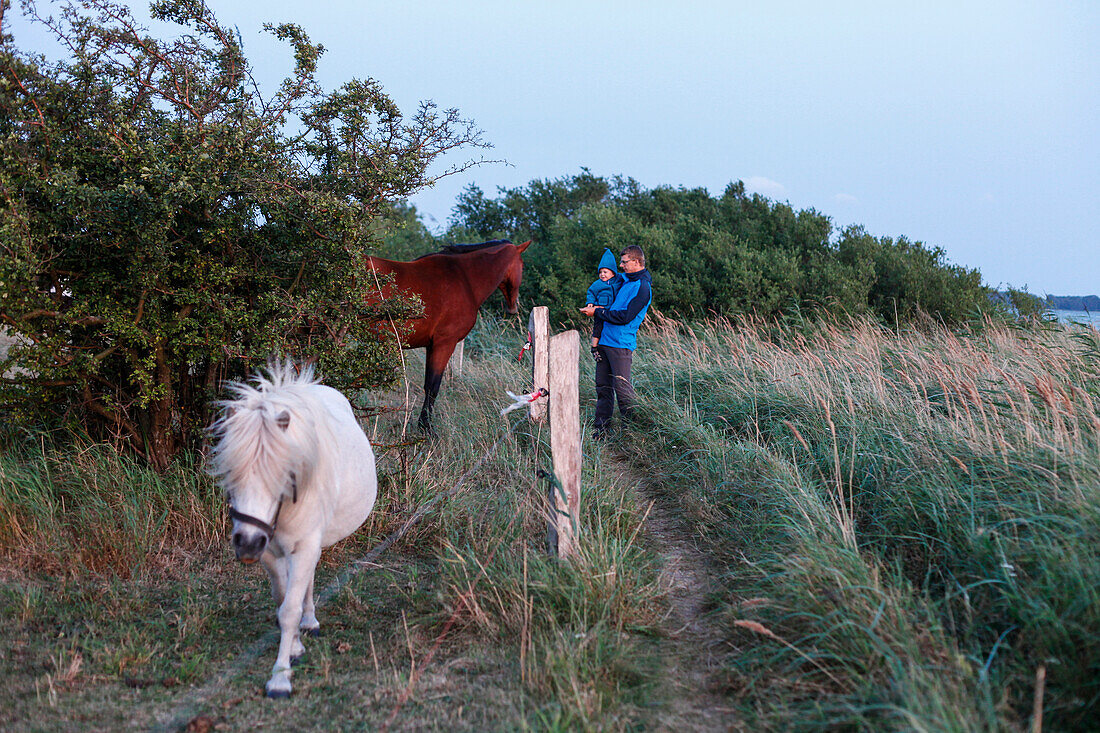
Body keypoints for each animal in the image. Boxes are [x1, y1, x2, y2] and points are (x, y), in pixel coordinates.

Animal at [207, 363, 380, 695]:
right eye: (231, 473)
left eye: (282, 474)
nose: (247, 544)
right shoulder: (270, 552)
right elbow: (283, 599)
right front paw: (295, 649)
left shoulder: (303, 545)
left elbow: (289, 610)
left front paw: (280, 677)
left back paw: (309, 622)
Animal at [367, 239, 530, 429]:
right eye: (522, 265)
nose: (513, 308)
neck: (464, 278)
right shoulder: (445, 343)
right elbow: (433, 387)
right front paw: (426, 427)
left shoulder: (431, 345)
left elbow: (428, 385)